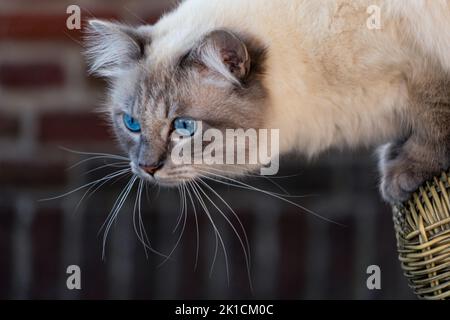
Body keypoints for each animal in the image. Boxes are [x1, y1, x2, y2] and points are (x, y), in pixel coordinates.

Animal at [85, 0, 450, 204]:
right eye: (131, 123)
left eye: (184, 127)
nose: (146, 168)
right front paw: (394, 156)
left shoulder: (421, 63)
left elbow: (435, 117)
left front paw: (403, 174)